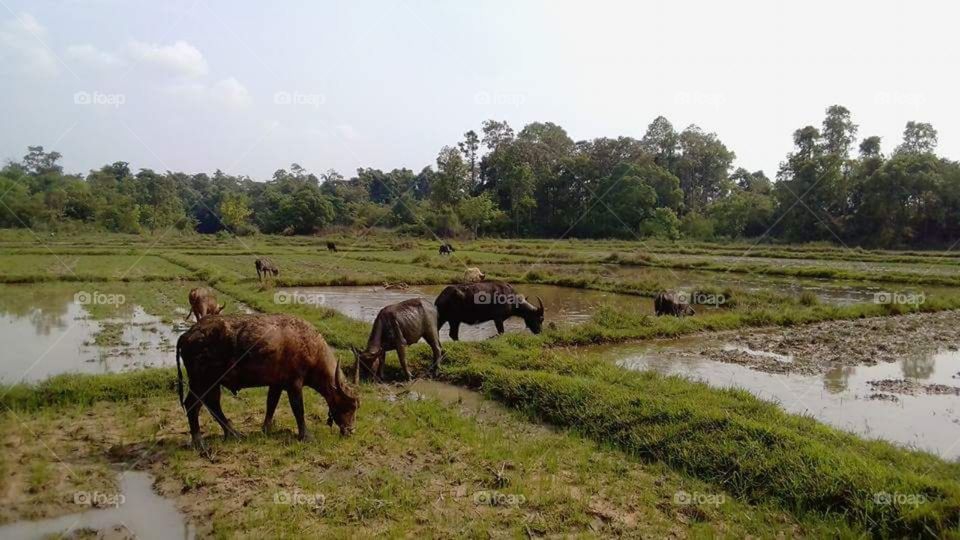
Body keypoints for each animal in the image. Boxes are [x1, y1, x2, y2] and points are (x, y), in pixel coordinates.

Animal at [176, 312, 360, 452]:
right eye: (348, 406)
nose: (351, 431)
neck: (308, 345)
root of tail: (187, 335)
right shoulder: (294, 385)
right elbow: (298, 410)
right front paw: (306, 436)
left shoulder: (276, 384)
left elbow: (271, 404)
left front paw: (266, 429)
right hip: (202, 382)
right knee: (193, 405)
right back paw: (200, 442)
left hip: (211, 383)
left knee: (212, 404)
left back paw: (233, 433)